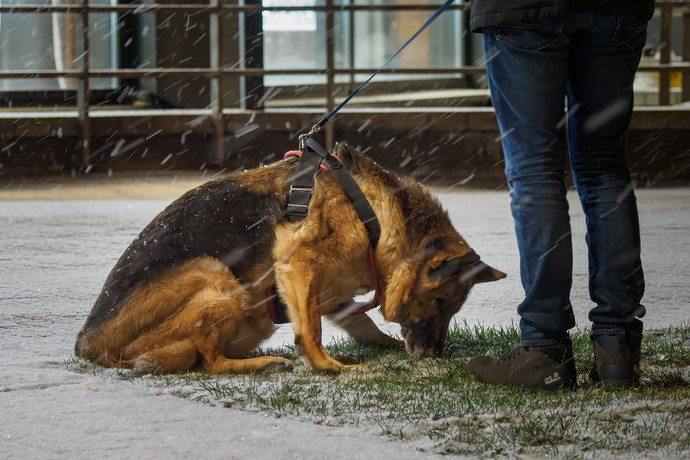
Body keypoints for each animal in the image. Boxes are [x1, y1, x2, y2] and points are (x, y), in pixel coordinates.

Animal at [75, 145, 502, 374]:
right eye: (442, 302)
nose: (434, 356)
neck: (375, 214)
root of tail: (88, 344)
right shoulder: (298, 265)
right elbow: (310, 329)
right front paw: (328, 367)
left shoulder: (333, 292)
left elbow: (360, 321)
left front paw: (384, 344)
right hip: (218, 277)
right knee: (208, 360)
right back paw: (259, 365)